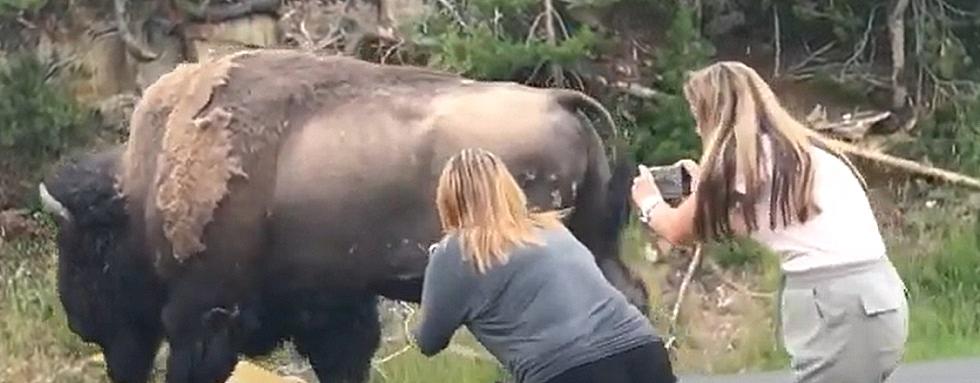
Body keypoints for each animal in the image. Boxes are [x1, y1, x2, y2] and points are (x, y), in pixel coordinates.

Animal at [40, 48, 652, 383]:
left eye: (81, 250)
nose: (77, 321)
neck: (143, 190)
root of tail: (558, 100)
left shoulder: (205, 315)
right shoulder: (331, 306)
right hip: (596, 242)